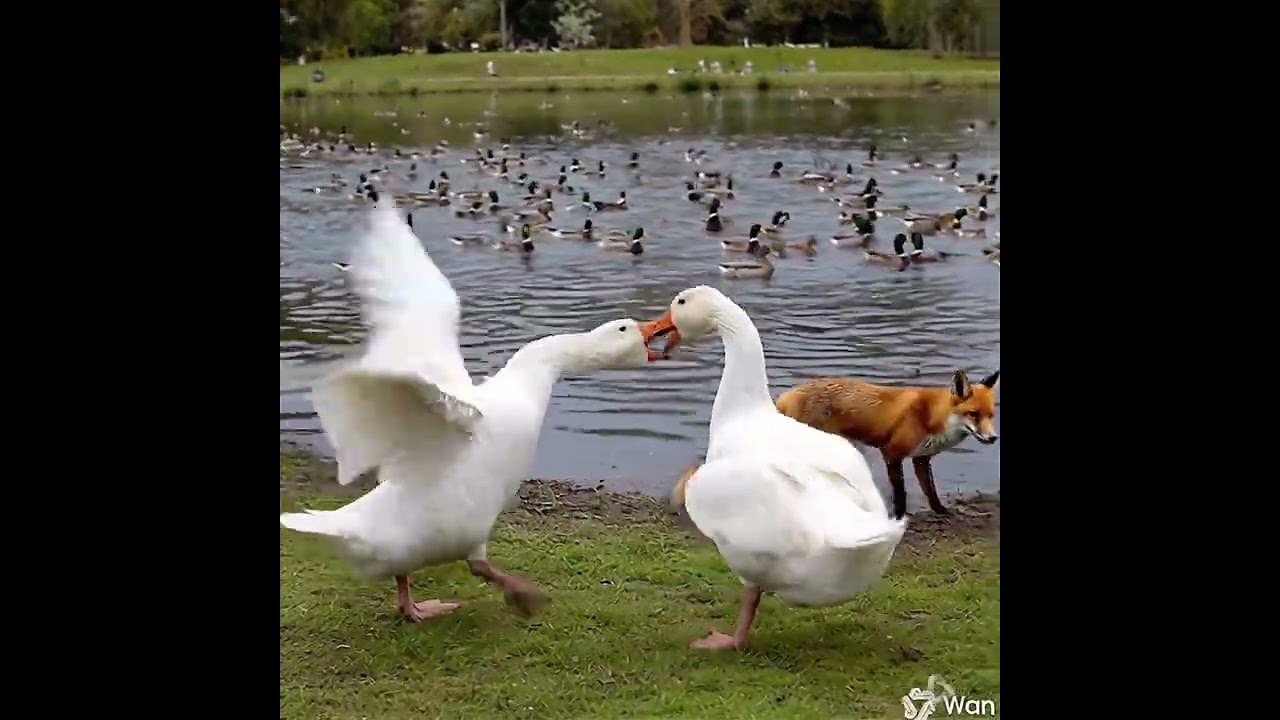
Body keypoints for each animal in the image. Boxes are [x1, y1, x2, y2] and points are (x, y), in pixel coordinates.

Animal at [772, 370, 999, 518]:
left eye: (990, 415)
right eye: (973, 414)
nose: (993, 438)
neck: (930, 416)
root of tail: (786, 395)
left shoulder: (921, 458)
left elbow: (930, 490)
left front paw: (941, 511)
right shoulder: (891, 453)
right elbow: (900, 491)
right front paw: (899, 516)